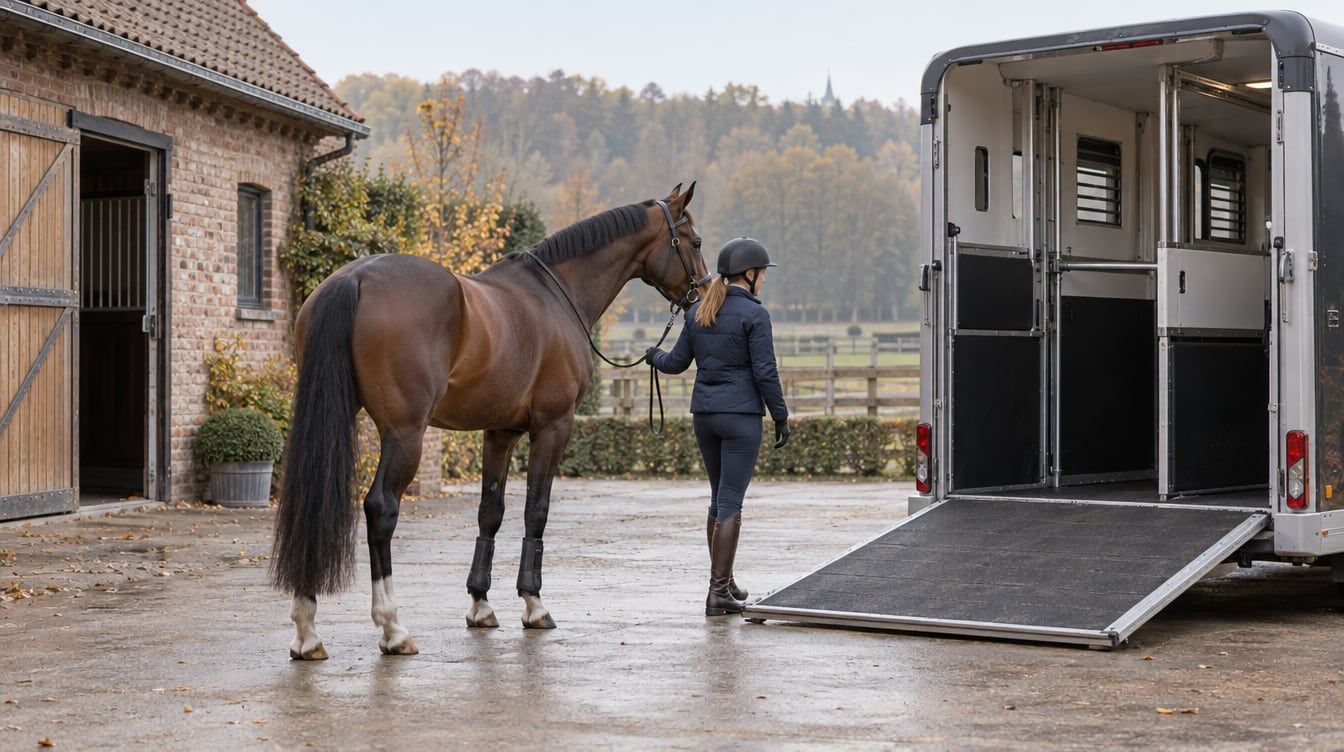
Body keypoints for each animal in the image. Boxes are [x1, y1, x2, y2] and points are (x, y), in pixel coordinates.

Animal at [270, 183, 708, 659]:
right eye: (695, 242)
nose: (703, 298)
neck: (557, 295)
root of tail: (356, 278)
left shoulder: (500, 432)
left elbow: (490, 513)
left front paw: (480, 605)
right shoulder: (553, 426)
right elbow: (536, 510)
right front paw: (534, 604)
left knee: (311, 496)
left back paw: (306, 631)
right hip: (404, 434)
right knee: (381, 508)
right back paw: (392, 628)